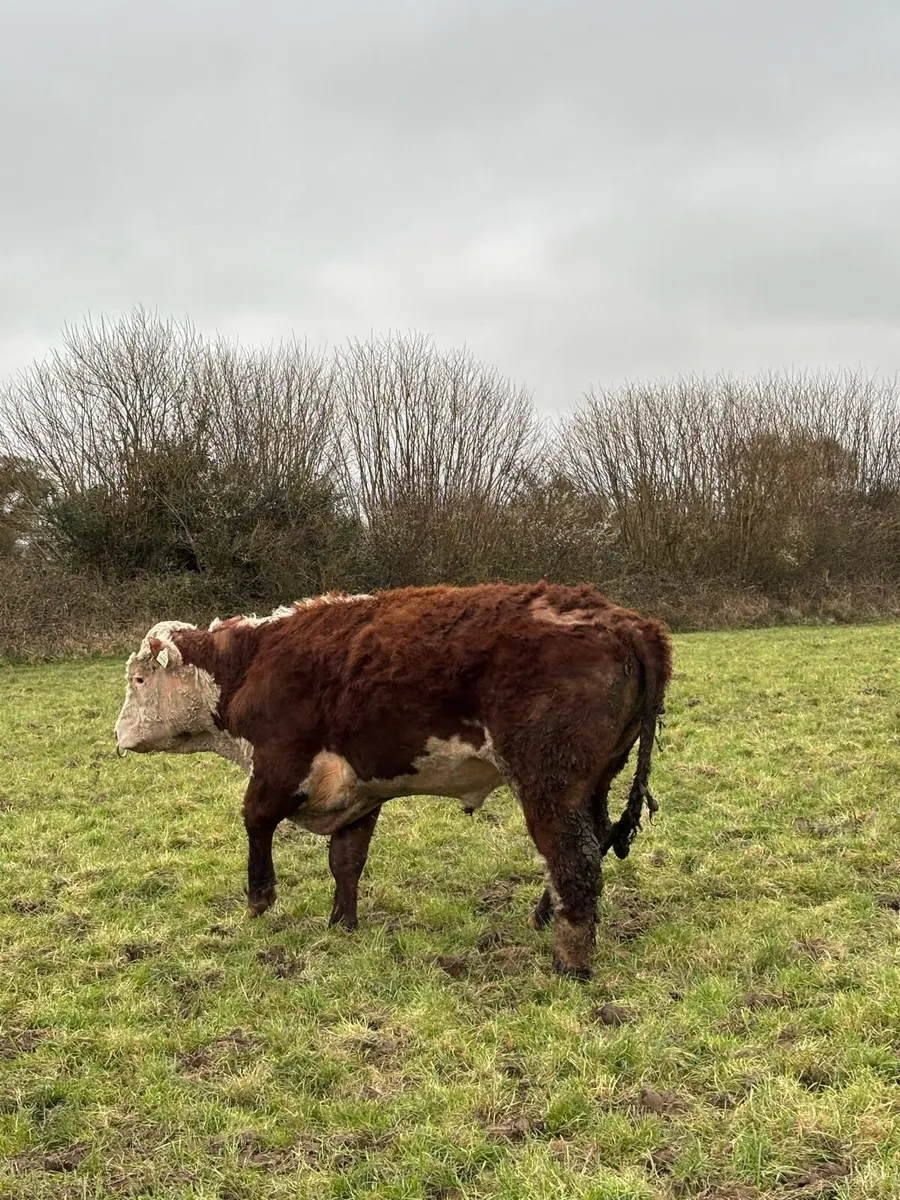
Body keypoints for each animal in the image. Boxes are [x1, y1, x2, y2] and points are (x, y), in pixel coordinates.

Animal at [114, 582, 672, 980]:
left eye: (139, 680)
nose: (118, 735)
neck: (253, 662)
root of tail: (624, 619)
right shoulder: (359, 791)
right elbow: (345, 861)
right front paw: (342, 926)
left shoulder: (279, 765)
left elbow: (254, 821)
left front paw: (259, 898)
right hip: (592, 783)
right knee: (587, 844)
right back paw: (543, 917)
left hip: (548, 783)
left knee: (574, 860)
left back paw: (570, 964)